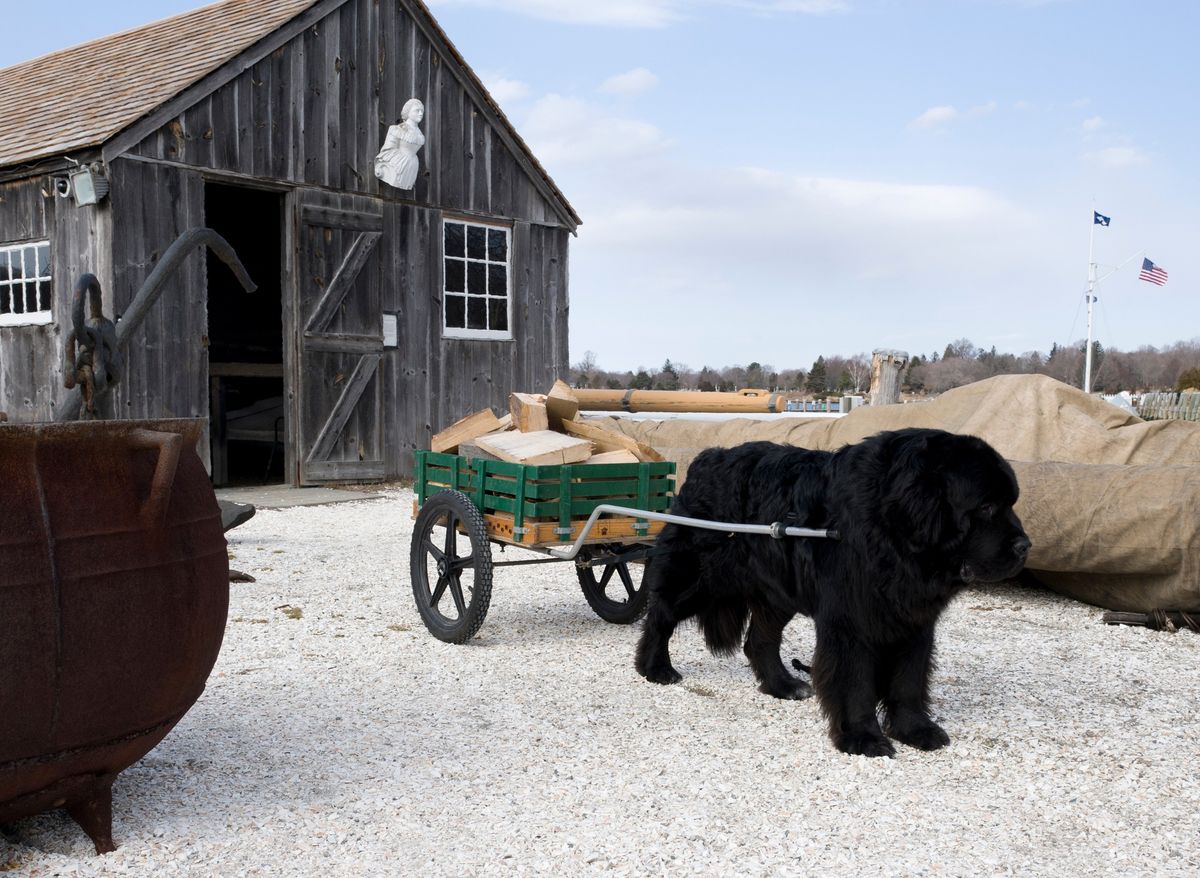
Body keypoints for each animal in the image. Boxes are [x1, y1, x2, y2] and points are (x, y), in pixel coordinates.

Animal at [638, 429, 1032, 758]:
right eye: (986, 507)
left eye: (1011, 503)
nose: (1025, 546)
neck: (893, 531)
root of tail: (704, 461)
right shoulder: (850, 622)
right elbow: (855, 682)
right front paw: (863, 738)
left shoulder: (914, 621)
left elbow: (909, 680)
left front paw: (915, 730)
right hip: (700, 578)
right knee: (660, 615)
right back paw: (654, 668)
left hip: (776, 591)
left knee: (759, 641)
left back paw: (783, 685)